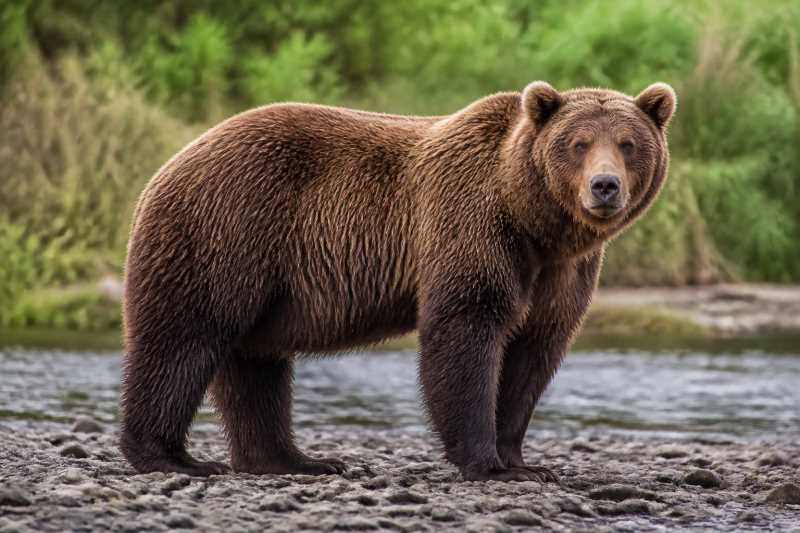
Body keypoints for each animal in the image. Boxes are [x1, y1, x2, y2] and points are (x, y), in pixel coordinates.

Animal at [120, 81, 676, 482]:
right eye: (578, 144)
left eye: (628, 143)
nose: (604, 186)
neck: (535, 222)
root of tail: (171, 162)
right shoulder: (470, 225)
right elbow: (465, 331)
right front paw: (490, 464)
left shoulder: (561, 272)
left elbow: (533, 353)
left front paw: (524, 460)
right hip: (225, 229)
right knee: (184, 339)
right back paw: (172, 457)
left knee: (255, 363)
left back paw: (295, 460)